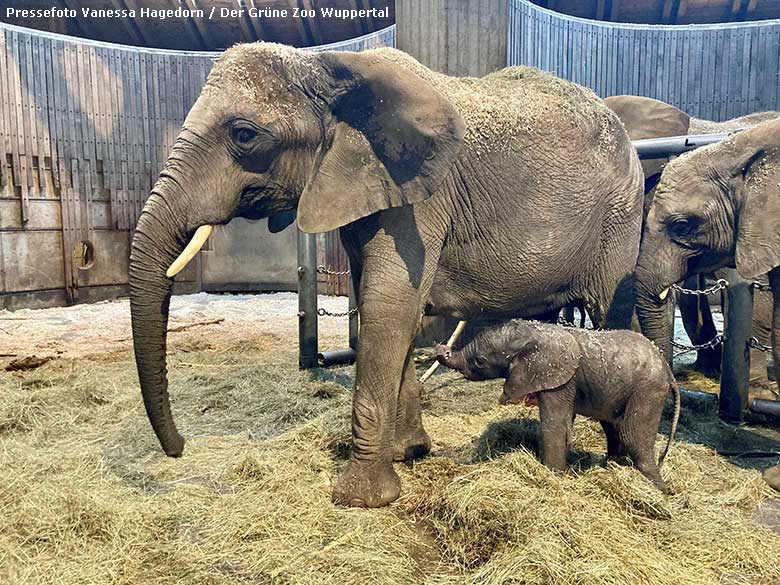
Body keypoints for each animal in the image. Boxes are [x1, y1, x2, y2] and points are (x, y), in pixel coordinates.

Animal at [128, 44, 640, 506]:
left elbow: (387, 308)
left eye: (244, 134)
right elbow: (395, 313)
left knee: (613, 312)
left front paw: (361, 499)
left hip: (620, 219)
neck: (329, 67)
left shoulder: (421, 201)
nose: (179, 449)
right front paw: (408, 452)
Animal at [436, 320, 680, 492]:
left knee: (632, 436)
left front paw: (552, 477)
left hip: (648, 389)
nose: (442, 349)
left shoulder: (558, 380)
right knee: (614, 430)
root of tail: (668, 369)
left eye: (480, 361)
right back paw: (611, 469)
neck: (530, 333)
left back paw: (660, 491)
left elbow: (554, 426)